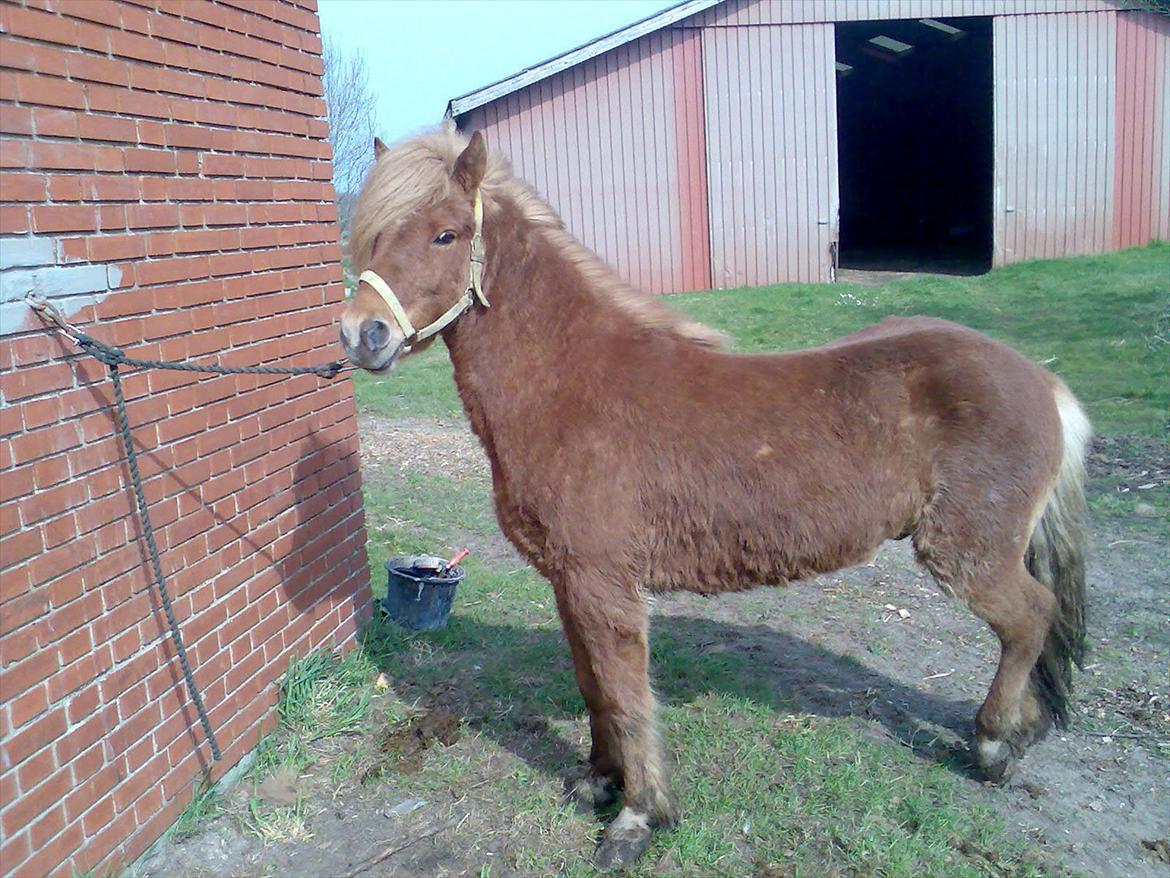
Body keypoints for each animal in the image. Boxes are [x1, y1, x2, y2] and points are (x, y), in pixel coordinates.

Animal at [339, 130, 1085, 875]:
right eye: (373, 238)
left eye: (446, 234)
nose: (361, 334)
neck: (574, 383)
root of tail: (1042, 383)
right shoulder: (569, 583)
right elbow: (592, 686)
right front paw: (598, 782)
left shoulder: (604, 585)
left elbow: (626, 697)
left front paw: (637, 819)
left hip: (967, 553)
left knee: (1030, 618)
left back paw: (994, 746)